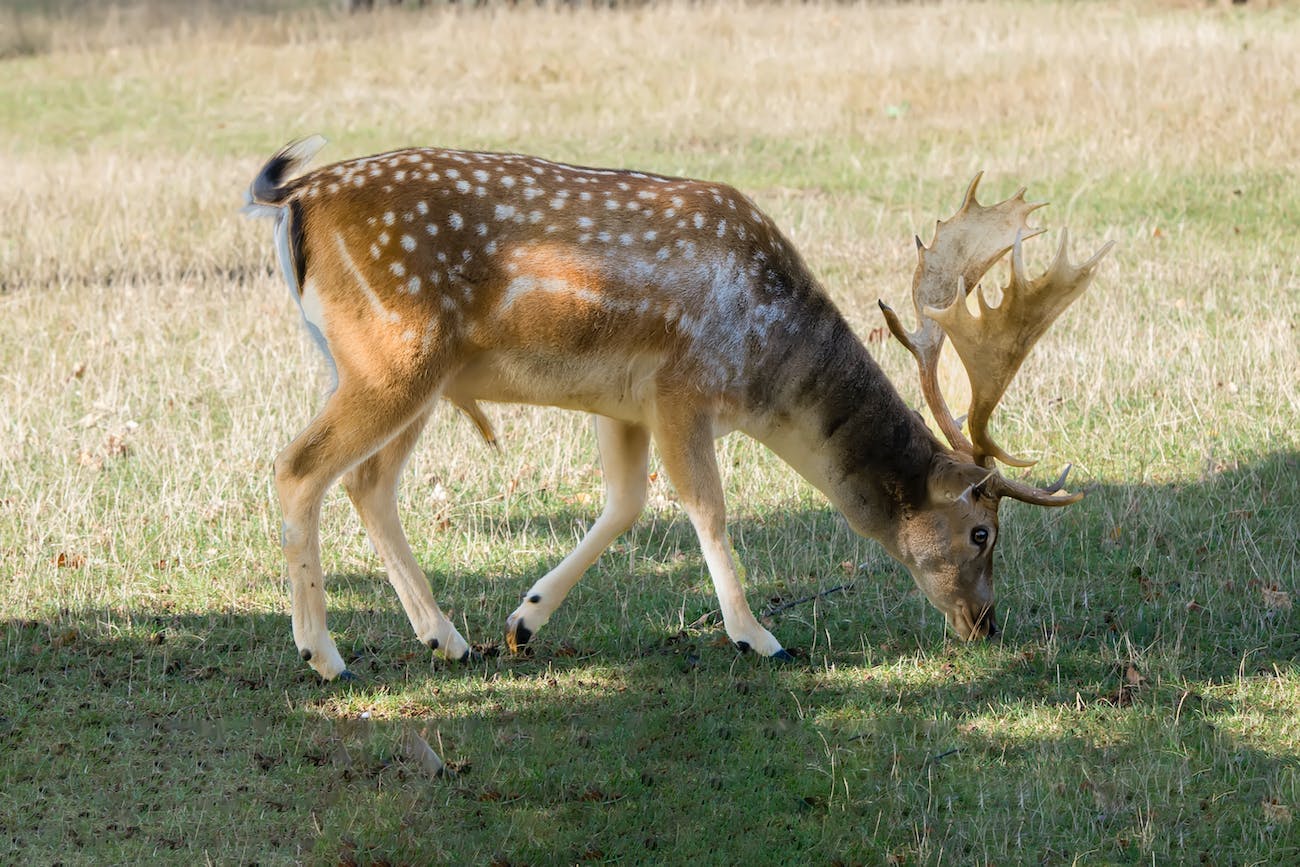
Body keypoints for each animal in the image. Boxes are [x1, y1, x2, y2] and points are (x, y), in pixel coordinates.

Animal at [241, 135, 1107, 681]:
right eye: (983, 530)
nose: (985, 623)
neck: (769, 364)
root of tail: (292, 197)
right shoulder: (682, 389)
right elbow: (707, 508)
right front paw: (759, 636)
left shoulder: (622, 402)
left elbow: (625, 502)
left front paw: (523, 622)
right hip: (391, 354)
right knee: (297, 469)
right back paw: (323, 654)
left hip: (404, 372)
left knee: (368, 483)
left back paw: (449, 640)